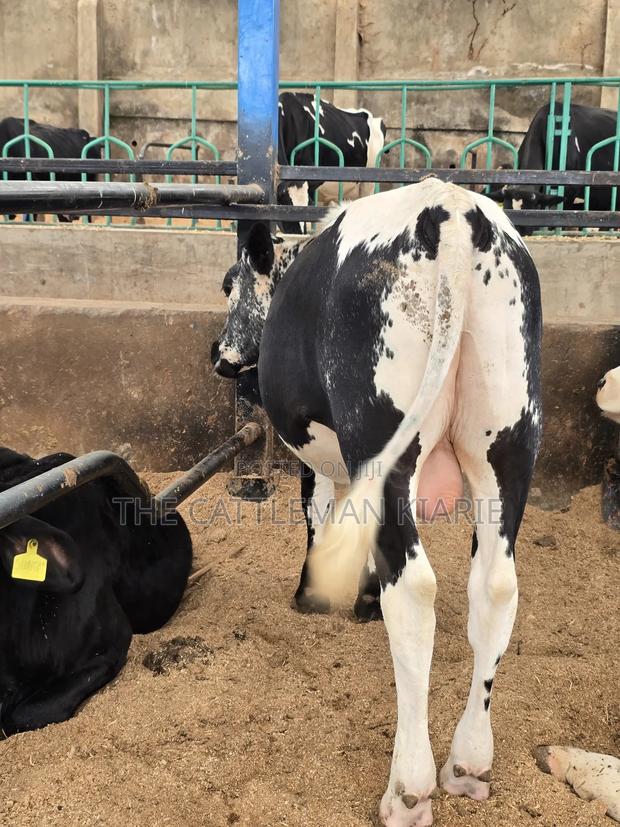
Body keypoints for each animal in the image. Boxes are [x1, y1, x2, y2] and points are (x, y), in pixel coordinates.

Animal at [212, 176, 542, 825]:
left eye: (229, 284)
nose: (220, 355)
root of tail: (454, 211)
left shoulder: (319, 456)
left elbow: (319, 518)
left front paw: (314, 596)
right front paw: (362, 600)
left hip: (385, 441)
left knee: (414, 590)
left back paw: (408, 788)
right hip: (508, 441)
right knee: (495, 588)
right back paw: (468, 763)